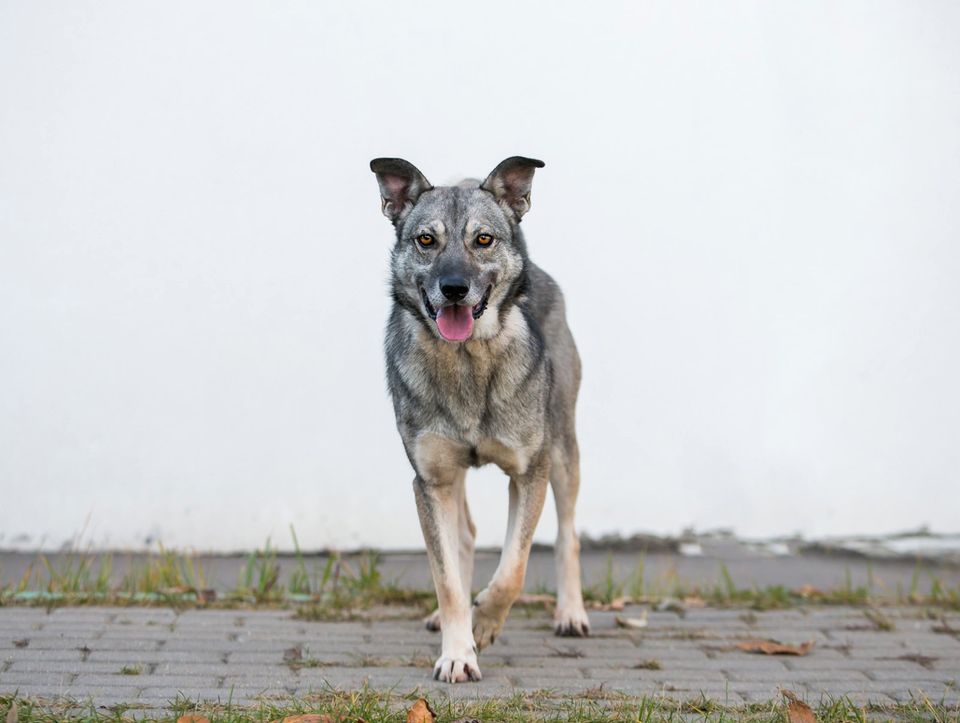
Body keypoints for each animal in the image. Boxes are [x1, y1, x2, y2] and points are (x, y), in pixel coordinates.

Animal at [372, 157, 588, 684]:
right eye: (426, 240)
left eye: (483, 239)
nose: (454, 289)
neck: (467, 360)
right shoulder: (432, 480)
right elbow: (447, 575)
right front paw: (458, 651)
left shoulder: (530, 471)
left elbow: (514, 567)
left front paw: (486, 621)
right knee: (464, 537)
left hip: (563, 449)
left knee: (568, 533)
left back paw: (571, 613)